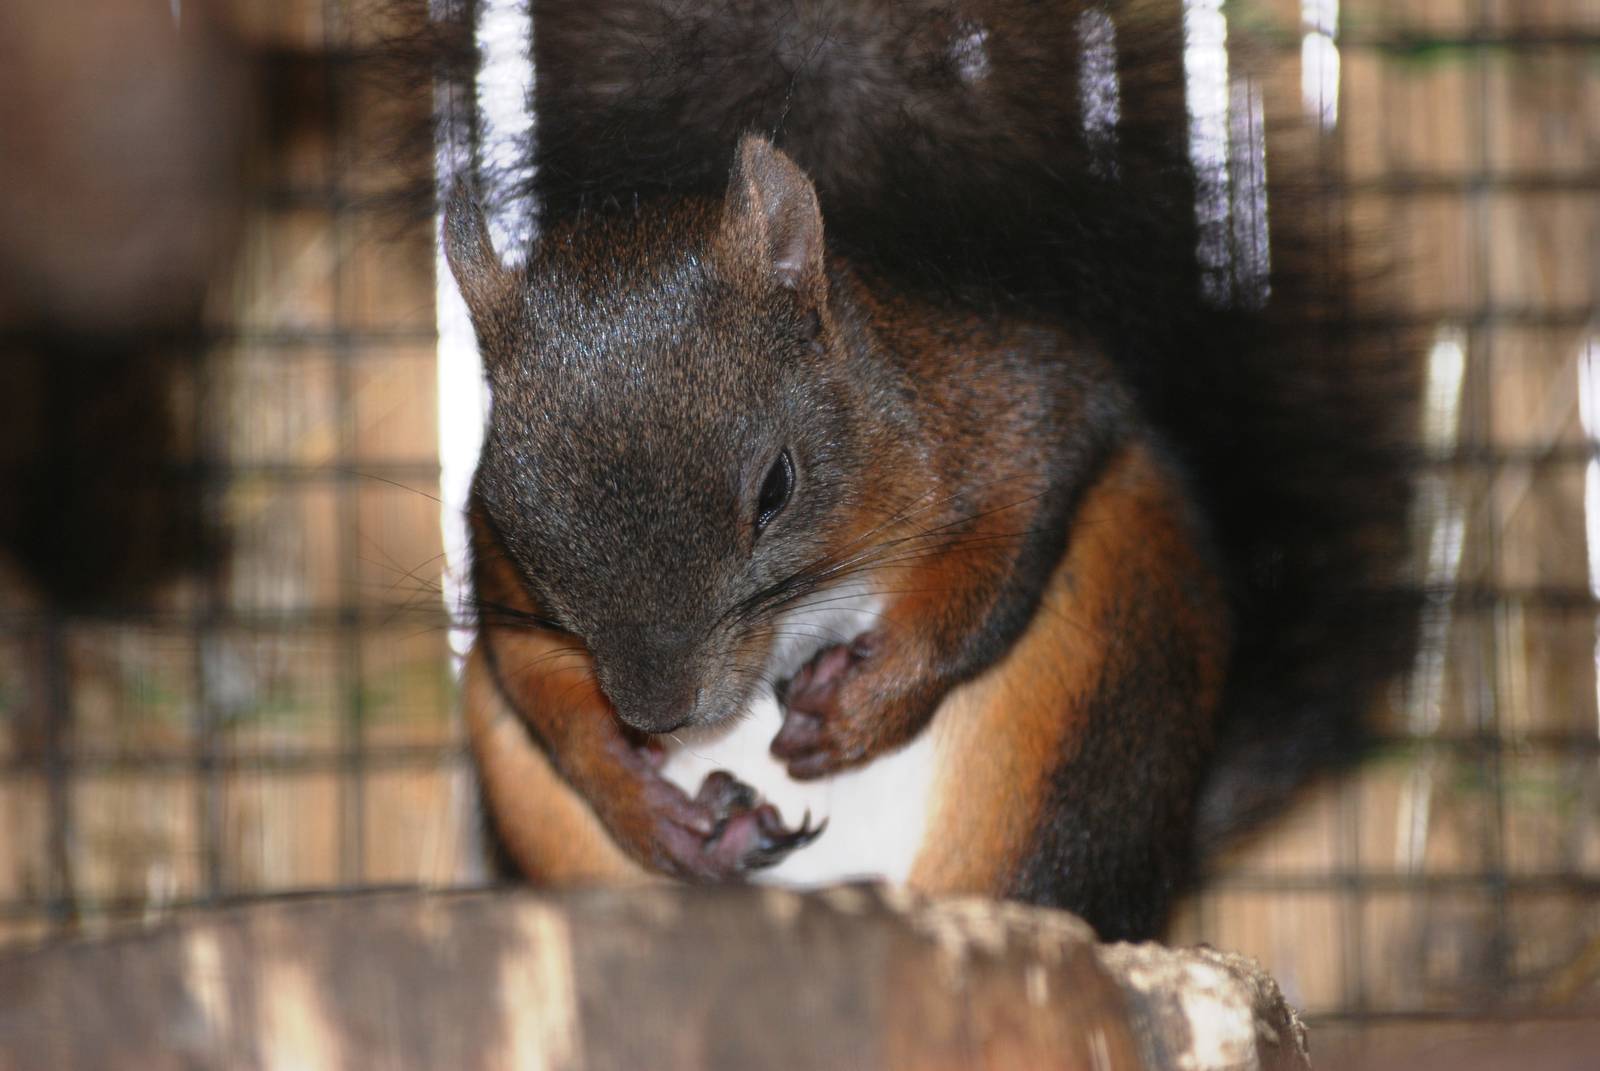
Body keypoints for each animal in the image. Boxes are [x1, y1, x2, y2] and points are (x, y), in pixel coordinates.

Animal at [431, 0, 1420, 940]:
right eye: (508, 508)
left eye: (776, 486)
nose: (660, 714)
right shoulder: (499, 579)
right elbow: (539, 685)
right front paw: (641, 797)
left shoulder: (1008, 402)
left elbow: (1003, 551)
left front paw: (866, 704)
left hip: (1099, 681)